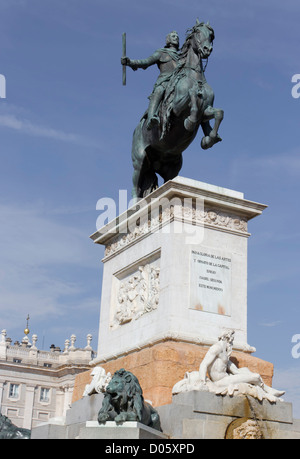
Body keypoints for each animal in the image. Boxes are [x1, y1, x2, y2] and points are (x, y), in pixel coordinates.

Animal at [131, 20, 223, 199]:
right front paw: (190, 120)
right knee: (136, 188)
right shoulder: (175, 109)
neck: (195, 77)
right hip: (139, 161)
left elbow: (218, 113)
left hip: (172, 166)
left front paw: (209, 139)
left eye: (211, 35)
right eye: (198, 33)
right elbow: (191, 97)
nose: (207, 49)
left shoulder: (206, 111)